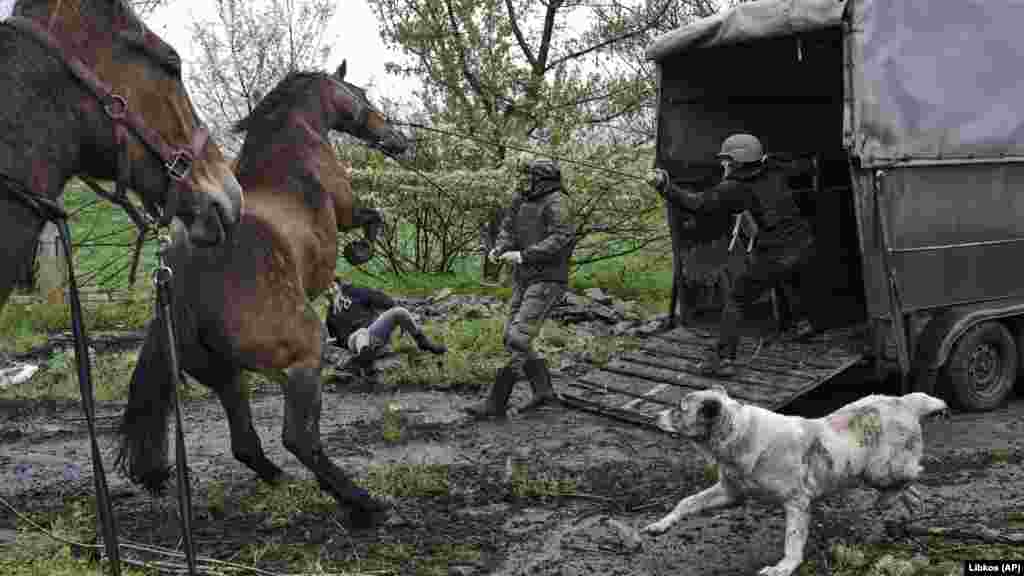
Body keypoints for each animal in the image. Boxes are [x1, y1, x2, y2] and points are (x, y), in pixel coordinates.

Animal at [119, 61, 407, 524]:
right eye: (359, 93)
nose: (396, 139)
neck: (292, 144)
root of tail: (181, 289)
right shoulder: (346, 210)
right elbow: (372, 218)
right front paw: (360, 251)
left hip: (226, 375)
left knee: (245, 443)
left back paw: (282, 480)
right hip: (303, 355)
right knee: (299, 438)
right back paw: (361, 501)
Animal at [643, 383, 946, 576]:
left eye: (679, 410)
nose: (652, 416)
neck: (739, 434)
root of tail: (904, 402)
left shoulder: (797, 502)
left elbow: (792, 539)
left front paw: (783, 568)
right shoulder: (730, 493)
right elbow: (686, 502)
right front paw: (660, 524)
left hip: (880, 470)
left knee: (915, 474)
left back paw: (891, 502)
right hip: (879, 475)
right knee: (911, 492)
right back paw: (901, 512)